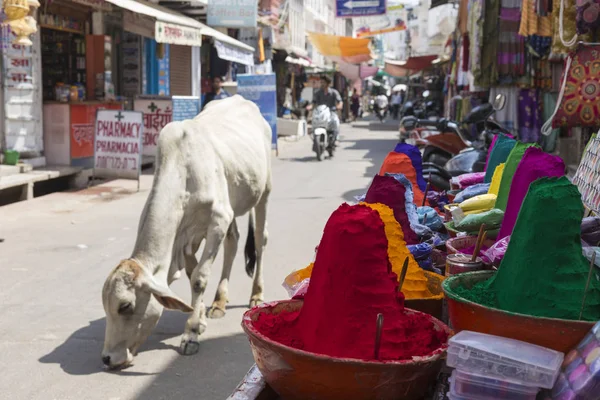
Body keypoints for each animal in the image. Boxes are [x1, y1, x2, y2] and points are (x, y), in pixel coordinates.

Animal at [101, 94, 272, 368]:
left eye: (125, 306)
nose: (107, 358)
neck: (182, 172)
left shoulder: (217, 220)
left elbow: (199, 278)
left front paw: (191, 333)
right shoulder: (188, 236)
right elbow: (193, 272)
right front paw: (199, 317)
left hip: (264, 191)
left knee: (259, 241)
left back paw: (256, 294)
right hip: (233, 203)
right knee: (233, 242)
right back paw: (219, 301)